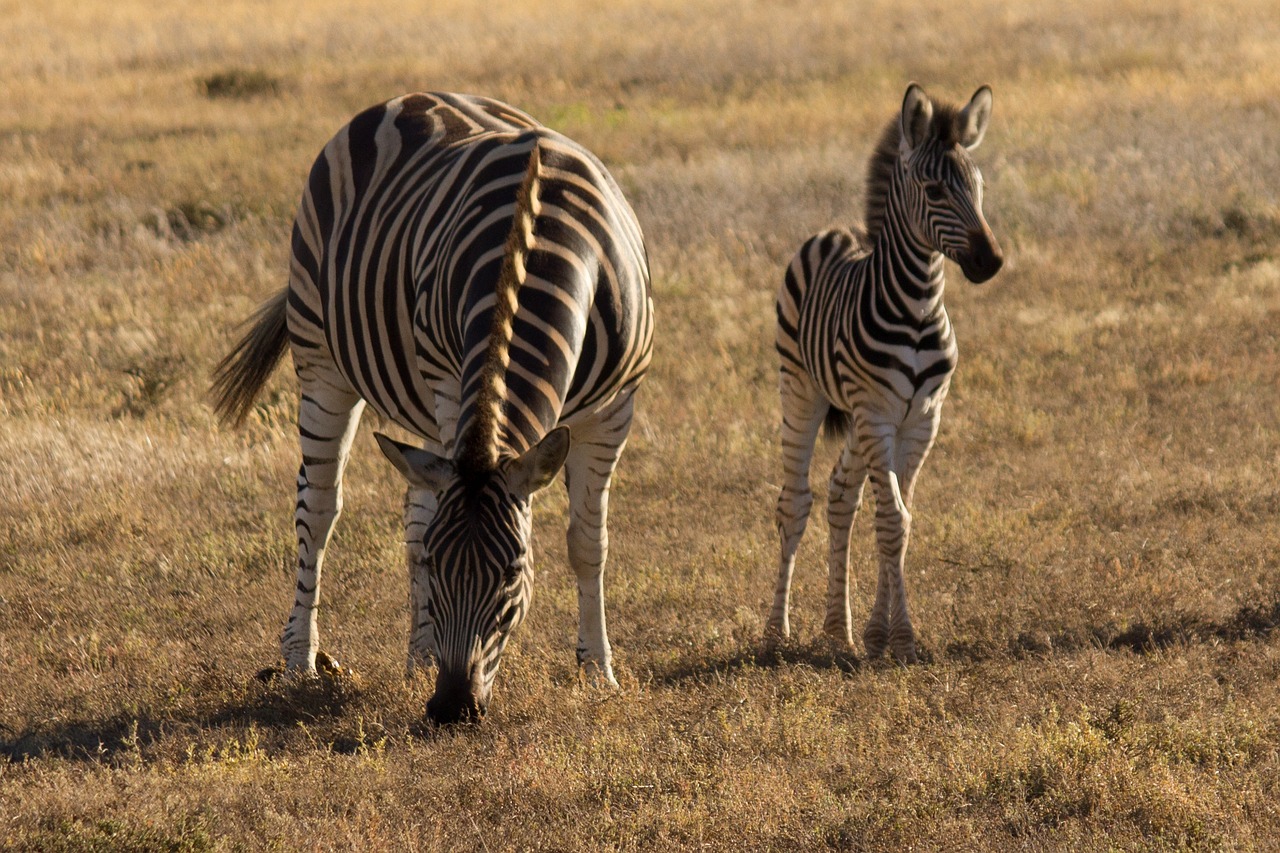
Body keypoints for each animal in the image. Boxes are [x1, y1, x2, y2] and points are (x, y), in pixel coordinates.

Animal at [213, 91, 655, 717]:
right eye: (437, 568)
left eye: (514, 573)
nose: (451, 707)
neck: (538, 245)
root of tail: (411, 97)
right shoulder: (451, 380)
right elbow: (422, 526)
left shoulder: (615, 407)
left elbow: (587, 542)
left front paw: (598, 671)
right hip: (321, 353)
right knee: (318, 507)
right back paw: (301, 659)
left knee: (416, 505)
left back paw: (420, 658)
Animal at [762, 84, 1003, 655]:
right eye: (934, 189)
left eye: (979, 186)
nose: (991, 261)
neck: (916, 308)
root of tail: (836, 230)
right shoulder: (876, 415)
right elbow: (891, 519)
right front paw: (901, 637)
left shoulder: (922, 419)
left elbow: (901, 520)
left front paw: (881, 634)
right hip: (800, 390)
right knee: (794, 502)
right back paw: (776, 632)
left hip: (861, 419)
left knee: (840, 496)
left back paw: (837, 629)